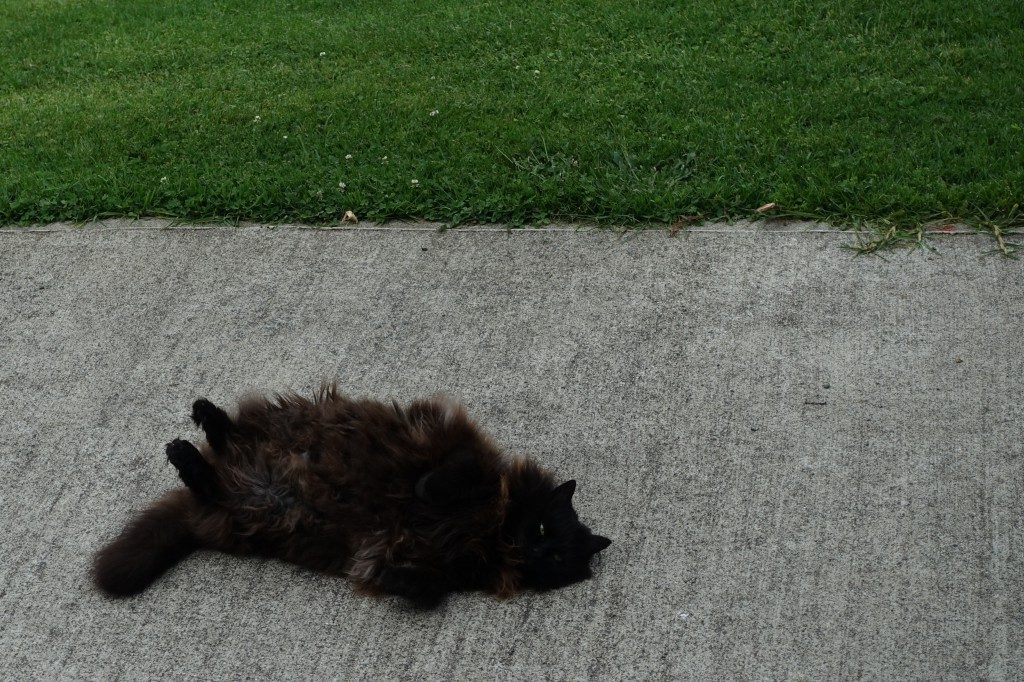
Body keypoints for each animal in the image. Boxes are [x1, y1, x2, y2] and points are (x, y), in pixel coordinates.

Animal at [94, 382, 606, 606]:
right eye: (542, 526)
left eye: (557, 558)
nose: (536, 549)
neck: (495, 531)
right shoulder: (464, 451)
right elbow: (443, 479)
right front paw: (424, 490)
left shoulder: (446, 568)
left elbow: (424, 588)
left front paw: (391, 575)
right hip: (279, 433)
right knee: (228, 437)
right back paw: (201, 420)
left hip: (253, 514)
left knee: (210, 479)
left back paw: (188, 451)